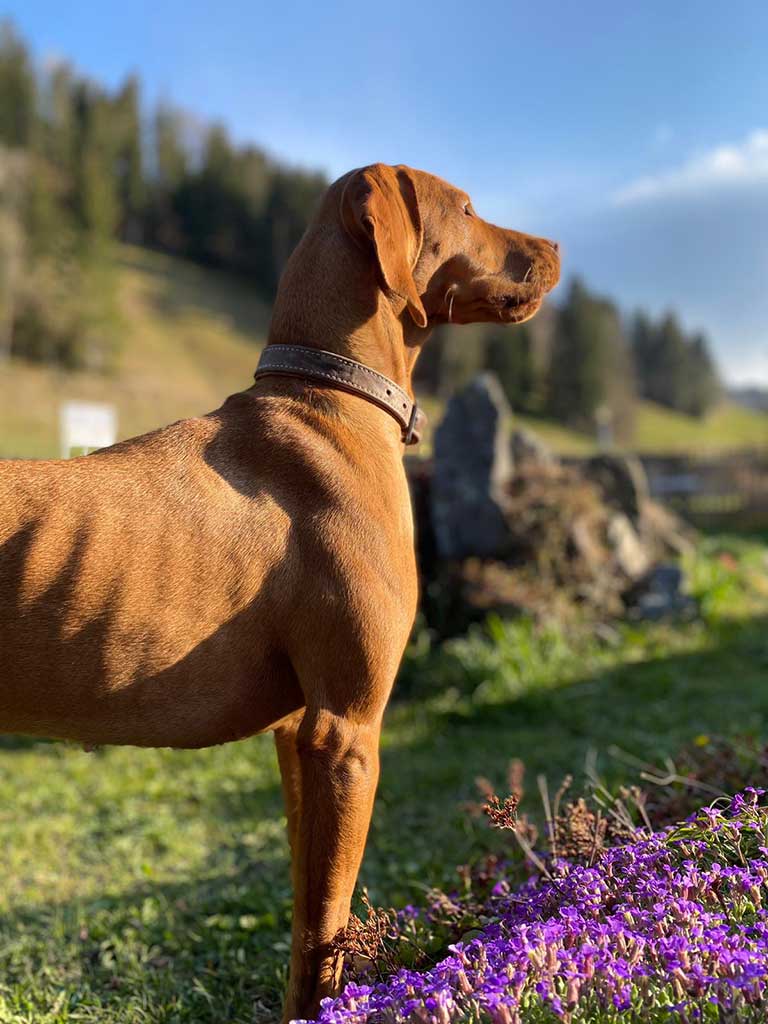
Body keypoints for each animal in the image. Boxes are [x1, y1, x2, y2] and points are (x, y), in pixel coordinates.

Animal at [0, 163, 559, 1021]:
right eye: (467, 209)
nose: (556, 249)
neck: (329, 395)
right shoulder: (345, 731)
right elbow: (326, 926)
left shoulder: (298, 733)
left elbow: (305, 910)